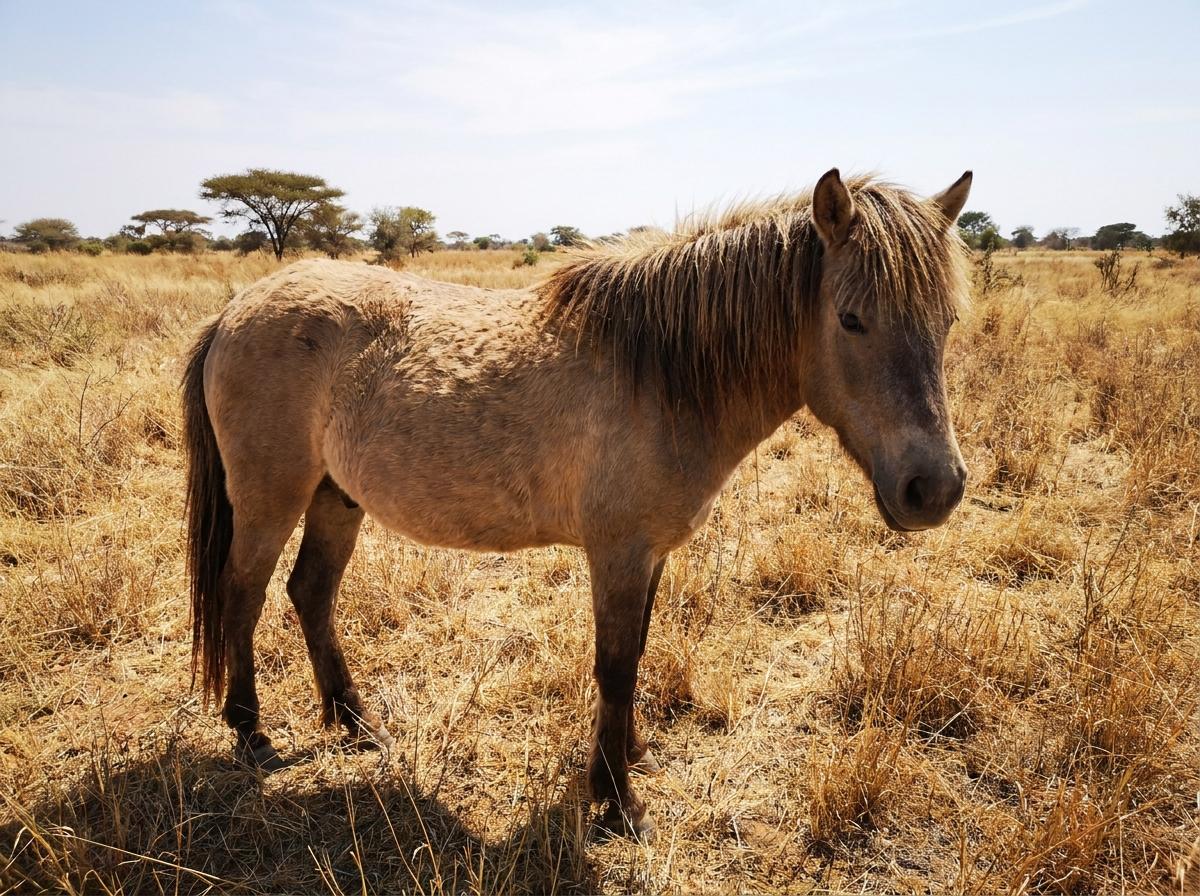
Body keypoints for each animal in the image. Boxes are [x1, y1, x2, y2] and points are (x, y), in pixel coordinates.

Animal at [182, 168, 973, 838]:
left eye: (948, 323)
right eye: (851, 319)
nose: (933, 489)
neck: (662, 372)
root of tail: (234, 310)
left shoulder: (650, 555)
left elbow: (637, 654)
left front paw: (628, 757)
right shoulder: (617, 554)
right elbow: (615, 666)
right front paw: (619, 803)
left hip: (335, 497)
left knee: (310, 593)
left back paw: (356, 723)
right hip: (270, 498)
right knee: (243, 593)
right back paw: (251, 731)